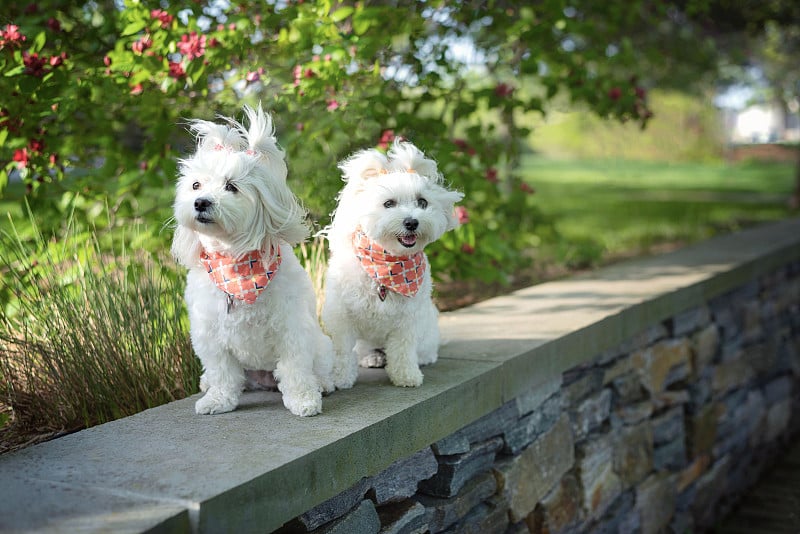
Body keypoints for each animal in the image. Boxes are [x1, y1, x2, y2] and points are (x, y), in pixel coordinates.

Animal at [172, 104, 334, 418]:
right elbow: (222, 372)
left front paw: (303, 400)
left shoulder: (292, 327)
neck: (235, 264)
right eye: (195, 185)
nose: (201, 202)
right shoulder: (210, 333)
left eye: (231, 186)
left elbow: (296, 369)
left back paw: (324, 383)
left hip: (319, 344)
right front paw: (218, 400)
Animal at [322, 141, 466, 390]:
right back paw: (372, 358)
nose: (411, 222)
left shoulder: (408, 320)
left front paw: (406, 376)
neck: (388, 266)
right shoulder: (341, 316)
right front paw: (340, 377)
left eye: (422, 202)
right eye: (388, 203)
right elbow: (342, 351)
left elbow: (403, 350)